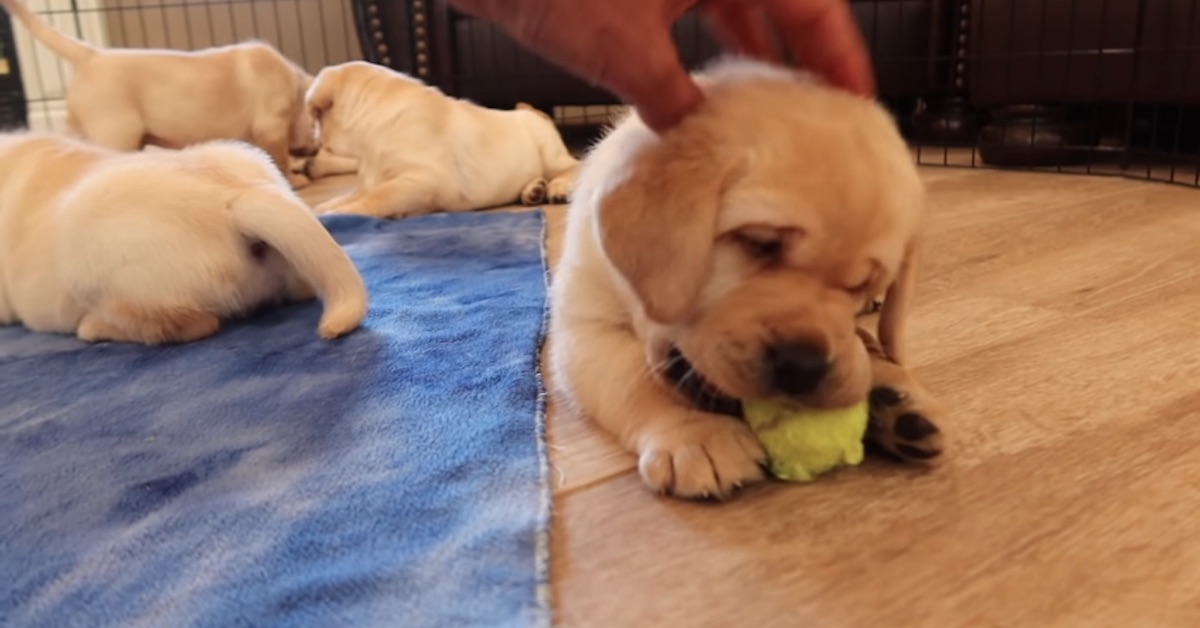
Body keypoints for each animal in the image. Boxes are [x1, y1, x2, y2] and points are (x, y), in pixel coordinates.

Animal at [0, 0, 316, 188]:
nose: (313, 151)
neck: (294, 83)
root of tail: (90, 55)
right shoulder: (271, 126)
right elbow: (279, 155)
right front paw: (294, 177)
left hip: (81, 129)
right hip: (116, 132)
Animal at [547, 58, 945, 501]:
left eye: (863, 285)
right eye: (759, 243)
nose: (803, 364)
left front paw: (896, 395)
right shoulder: (583, 327)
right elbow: (635, 380)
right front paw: (700, 436)